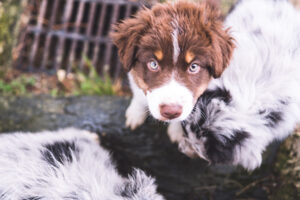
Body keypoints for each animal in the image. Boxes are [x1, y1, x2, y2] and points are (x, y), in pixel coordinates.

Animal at [110, 0, 234, 136]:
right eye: (153, 64)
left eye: (193, 67)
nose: (171, 112)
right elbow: (138, 87)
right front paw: (135, 114)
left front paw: (177, 132)